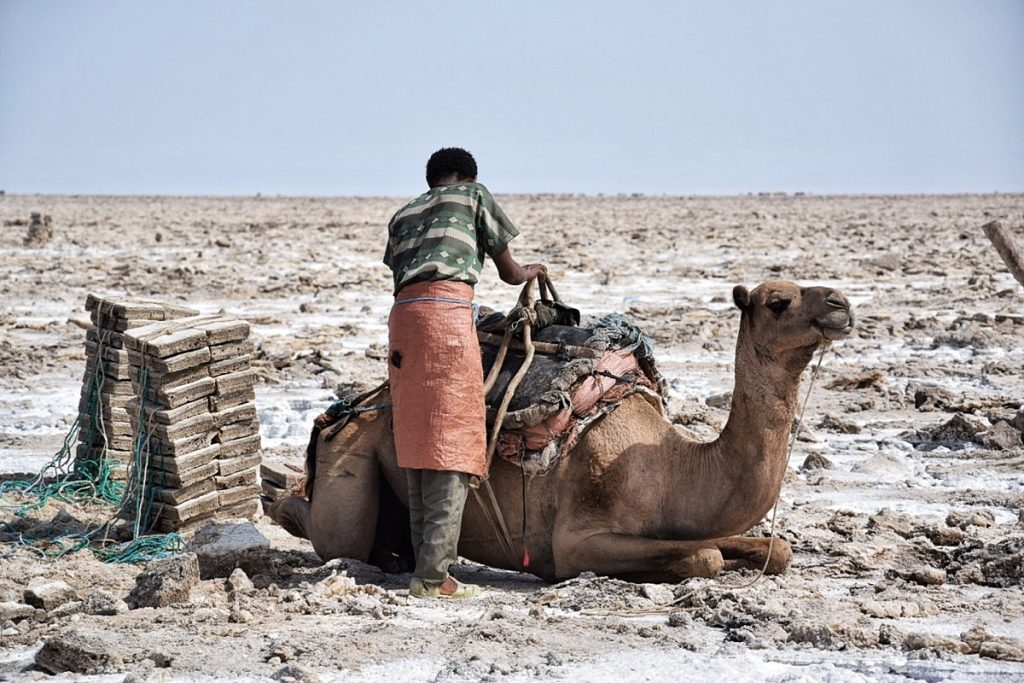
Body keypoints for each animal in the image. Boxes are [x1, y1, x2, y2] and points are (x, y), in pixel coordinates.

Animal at [268, 278, 851, 581]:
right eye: (778, 302)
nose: (841, 304)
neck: (674, 466)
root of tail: (346, 410)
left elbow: (774, 549)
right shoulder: (576, 541)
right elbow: (705, 558)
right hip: (351, 453)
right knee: (328, 531)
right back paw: (275, 489)